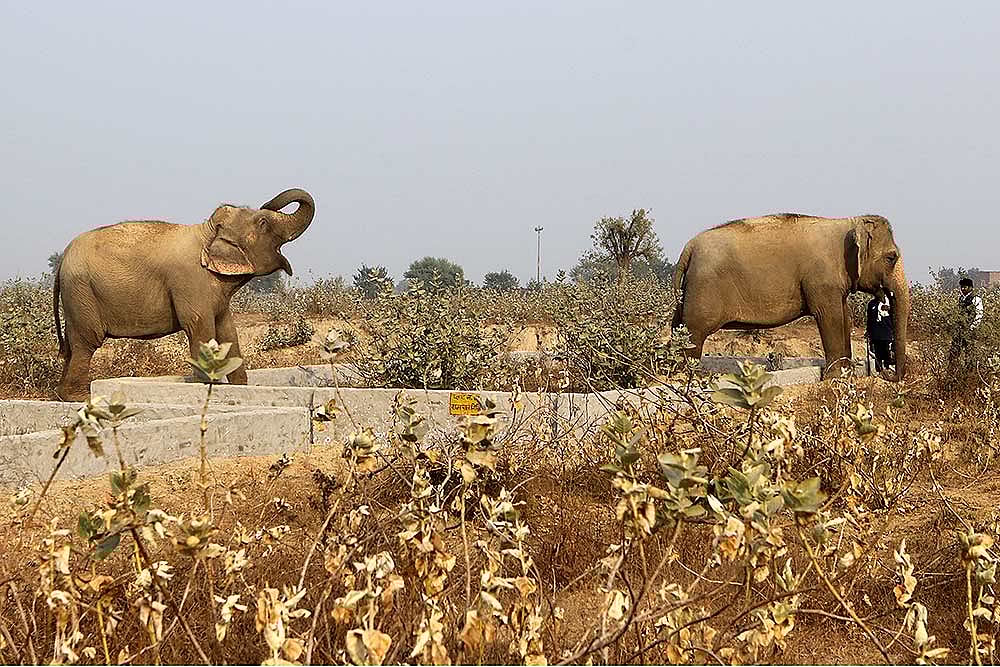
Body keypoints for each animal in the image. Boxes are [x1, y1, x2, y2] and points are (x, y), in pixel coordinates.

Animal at [52, 188, 315, 401]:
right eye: (263, 222)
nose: (268, 202)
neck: (207, 232)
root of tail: (63, 259)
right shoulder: (190, 281)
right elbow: (200, 327)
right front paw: (207, 385)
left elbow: (227, 330)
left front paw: (240, 386)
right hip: (82, 293)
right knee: (86, 342)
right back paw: (80, 397)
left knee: (72, 346)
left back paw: (63, 395)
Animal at [671, 213, 909, 380]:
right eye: (891, 257)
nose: (888, 374)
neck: (849, 222)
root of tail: (688, 247)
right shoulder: (821, 281)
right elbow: (829, 316)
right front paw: (833, 377)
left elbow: (844, 315)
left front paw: (845, 374)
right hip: (703, 290)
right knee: (695, 333)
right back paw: (688, 376)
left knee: (679, 327)